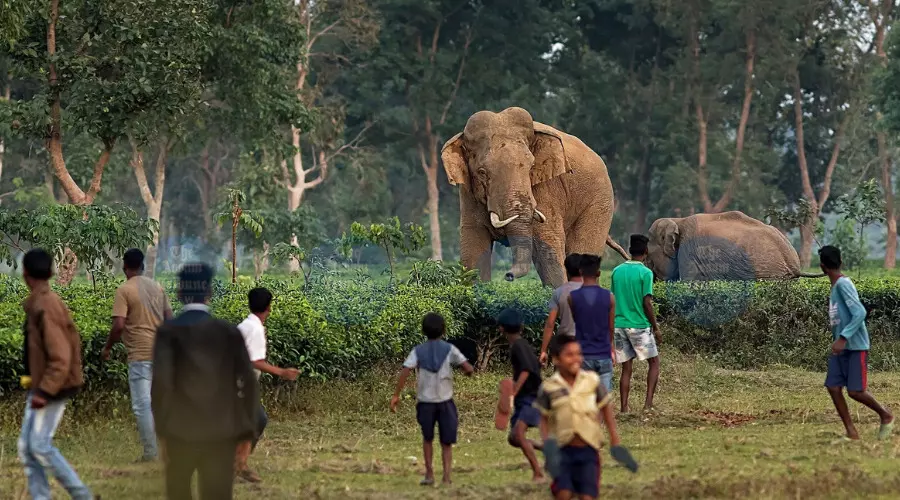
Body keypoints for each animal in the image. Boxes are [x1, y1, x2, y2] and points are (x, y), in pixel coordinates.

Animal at [441, 107, 628, 288]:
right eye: (481, 172)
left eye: (531, 167)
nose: (508, 275)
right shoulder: (468, 194)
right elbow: (473, 251)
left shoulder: (546, 188)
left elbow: (547, 245)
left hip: (599, 201)